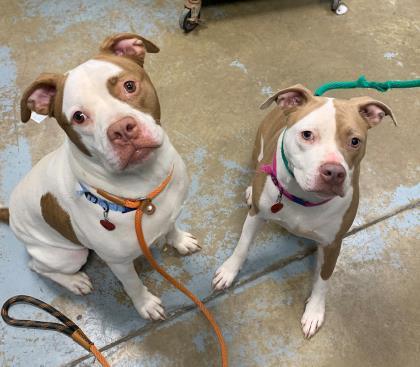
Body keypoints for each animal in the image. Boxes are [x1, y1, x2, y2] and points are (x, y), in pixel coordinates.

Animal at [0, 33, 200, 322]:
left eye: (129, 86)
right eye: (79, 117)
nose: (122, 130)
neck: (144, 193)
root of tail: (11, 212)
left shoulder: (171, 211)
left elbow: (171, 226)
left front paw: (179, 241)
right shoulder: (119, 263)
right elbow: (133, 284)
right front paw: (145, 304)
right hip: (66, 255)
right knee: (37, 266)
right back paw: (74, 281)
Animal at [213, 85, 398, 340]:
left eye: (355, 141)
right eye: (307, 134)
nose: (334, 172)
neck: (304, 198)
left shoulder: (333, 244)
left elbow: (323, 279)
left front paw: (314, 312)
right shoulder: (257, 215)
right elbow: (242, 246)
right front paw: (229, 271)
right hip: (257, 148)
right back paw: (250, 189)